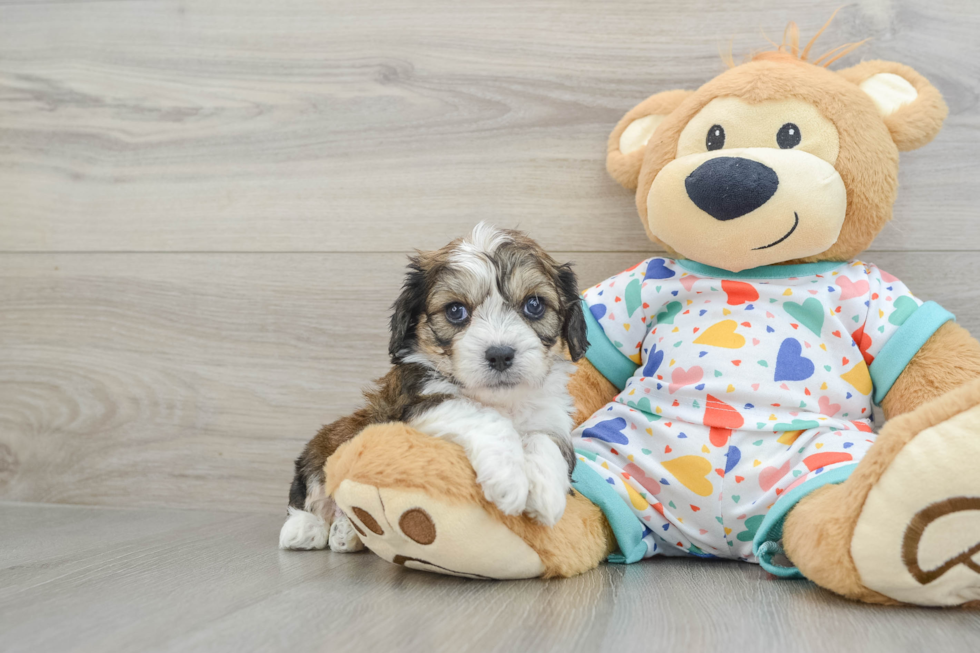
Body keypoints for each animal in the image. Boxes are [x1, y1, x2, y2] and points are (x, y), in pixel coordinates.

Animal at [284, 223, 588, 552]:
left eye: (534, 305)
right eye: (455, 310)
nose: (500, 355)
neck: (501, 400)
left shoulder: (551, 415)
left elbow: (546, 440)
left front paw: (547, 493)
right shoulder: (413, 404)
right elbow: (482, 416)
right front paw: (508, 477)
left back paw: (346, 531)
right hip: (326, 445)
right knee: (309, 489)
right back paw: (306, 528)